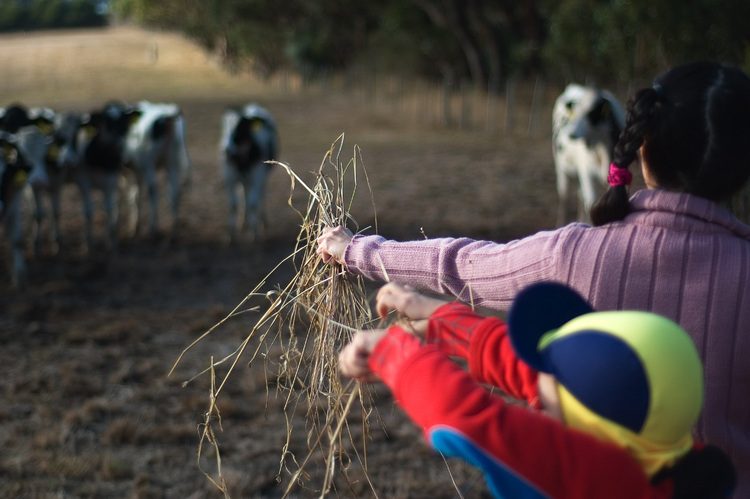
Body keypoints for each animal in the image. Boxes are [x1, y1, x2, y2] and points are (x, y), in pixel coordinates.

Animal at [122, 100, 191, 239]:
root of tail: (169, 115)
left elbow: (130, 196)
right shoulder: (136, 172)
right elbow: (135, 196)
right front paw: (135, 225)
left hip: (148, 163)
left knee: (153, 190)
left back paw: (153, 229)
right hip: (172, 163)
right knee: (174, 192)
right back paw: (174, 231)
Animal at [220, 104, 280, 244]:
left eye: (240, 127)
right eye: (224, 127)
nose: (226, 149)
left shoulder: (258, 175)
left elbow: (253, 203)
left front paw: (255, 234)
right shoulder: (229, 176)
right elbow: (234, 204)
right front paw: (231, 236)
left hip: (262, 178)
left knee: (260, 195)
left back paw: (262, 220)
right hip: (243, 180)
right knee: (244, 194)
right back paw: (244, 223)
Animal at [552, 85, 628, 226]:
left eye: (591, 114)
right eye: (575, 113)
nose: (571, 134)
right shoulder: (586, 172)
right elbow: (591, 201)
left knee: (580, 195)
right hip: (561, 166)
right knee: (564, 195)